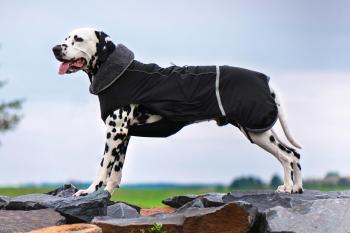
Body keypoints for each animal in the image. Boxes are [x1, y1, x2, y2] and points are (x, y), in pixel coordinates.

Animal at [52, 28, 304, 198]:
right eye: (65, 38)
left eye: (78, 39)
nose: (55, 49)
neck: (116, 72)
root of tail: (265, 80)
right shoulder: (123, 136)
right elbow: (115, 173)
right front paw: (108, 196)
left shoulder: (115, 133)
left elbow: (102, 167)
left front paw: (89, 191)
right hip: (260, 130)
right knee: (293, 155)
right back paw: (294, 187)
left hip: (258, 131)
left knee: (288, 156)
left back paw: (291, 188)